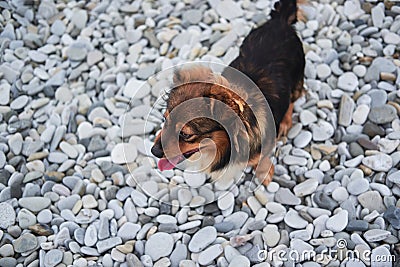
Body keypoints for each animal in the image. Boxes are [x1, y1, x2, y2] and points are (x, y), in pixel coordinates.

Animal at [152, 0, 304, 186]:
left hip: (297, 79)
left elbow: (263, 159)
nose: (153, 151)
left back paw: (285, 122)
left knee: (293, 99)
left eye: (185, 134)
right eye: (165, 119)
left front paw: (264, 173)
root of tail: (281, 21)